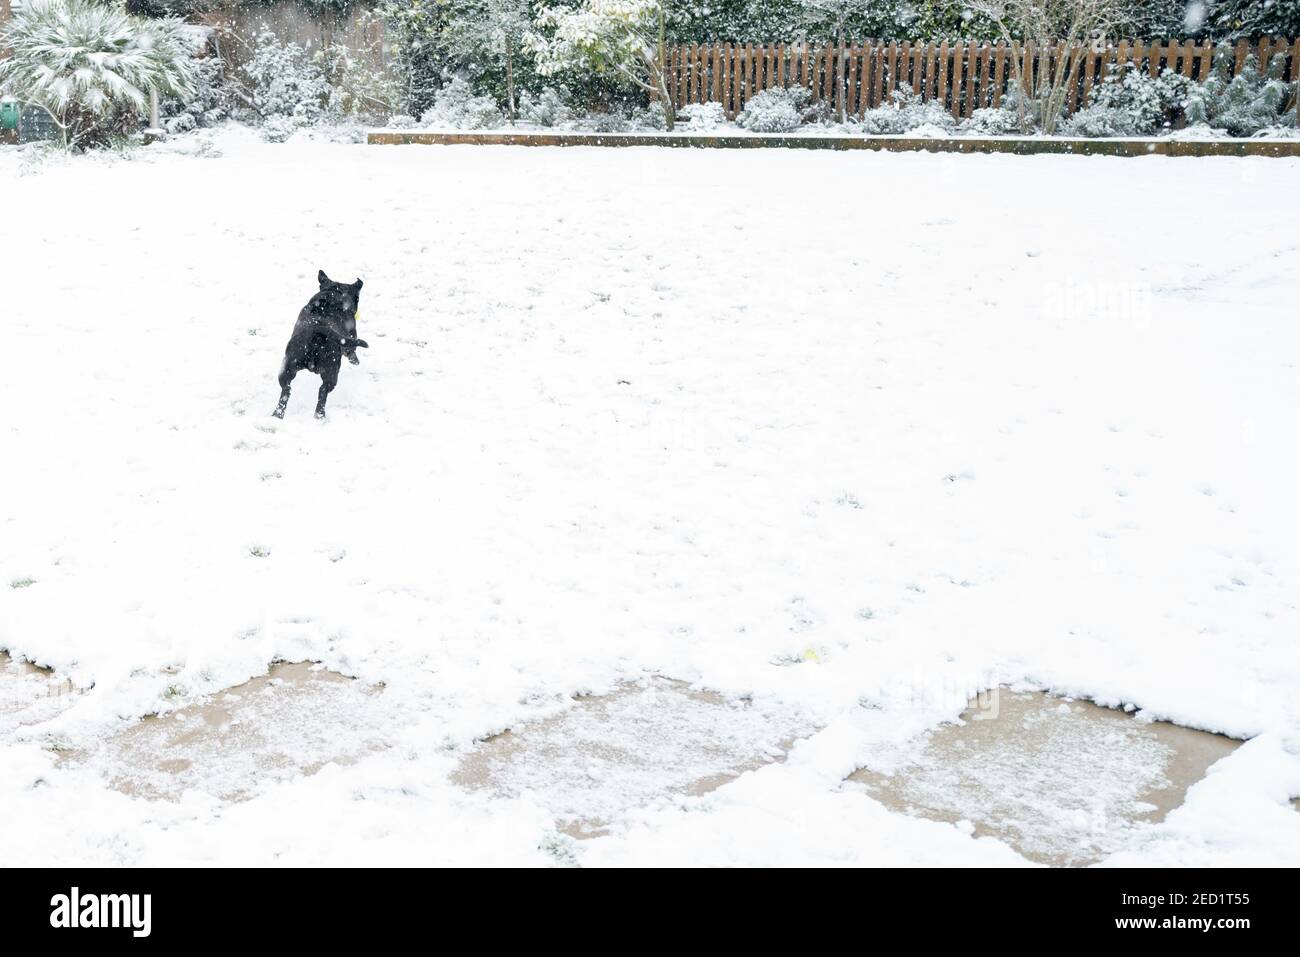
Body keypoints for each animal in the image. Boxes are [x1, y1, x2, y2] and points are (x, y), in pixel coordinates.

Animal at [275, 269, 371, 418]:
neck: (332, 295)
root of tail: (317, 329)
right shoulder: (351, 336)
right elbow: (352, 351)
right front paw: (355, 361)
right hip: (332, 371)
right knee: (323, 391)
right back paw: (319, 416)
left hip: (287, 366)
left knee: (286, 390)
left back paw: (277, 415)